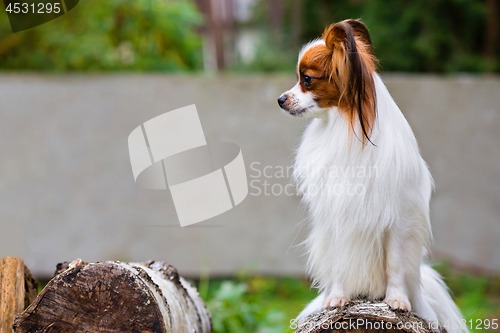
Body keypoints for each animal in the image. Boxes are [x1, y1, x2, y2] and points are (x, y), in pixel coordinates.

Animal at [280, 19, 466, 330]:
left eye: (306, 79)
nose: (280, 100)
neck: (344, 126)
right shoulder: (337, 215)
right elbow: (340, 262)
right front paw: (337, 298)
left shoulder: (398, 220)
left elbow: (395, 264)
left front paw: (397, 300)